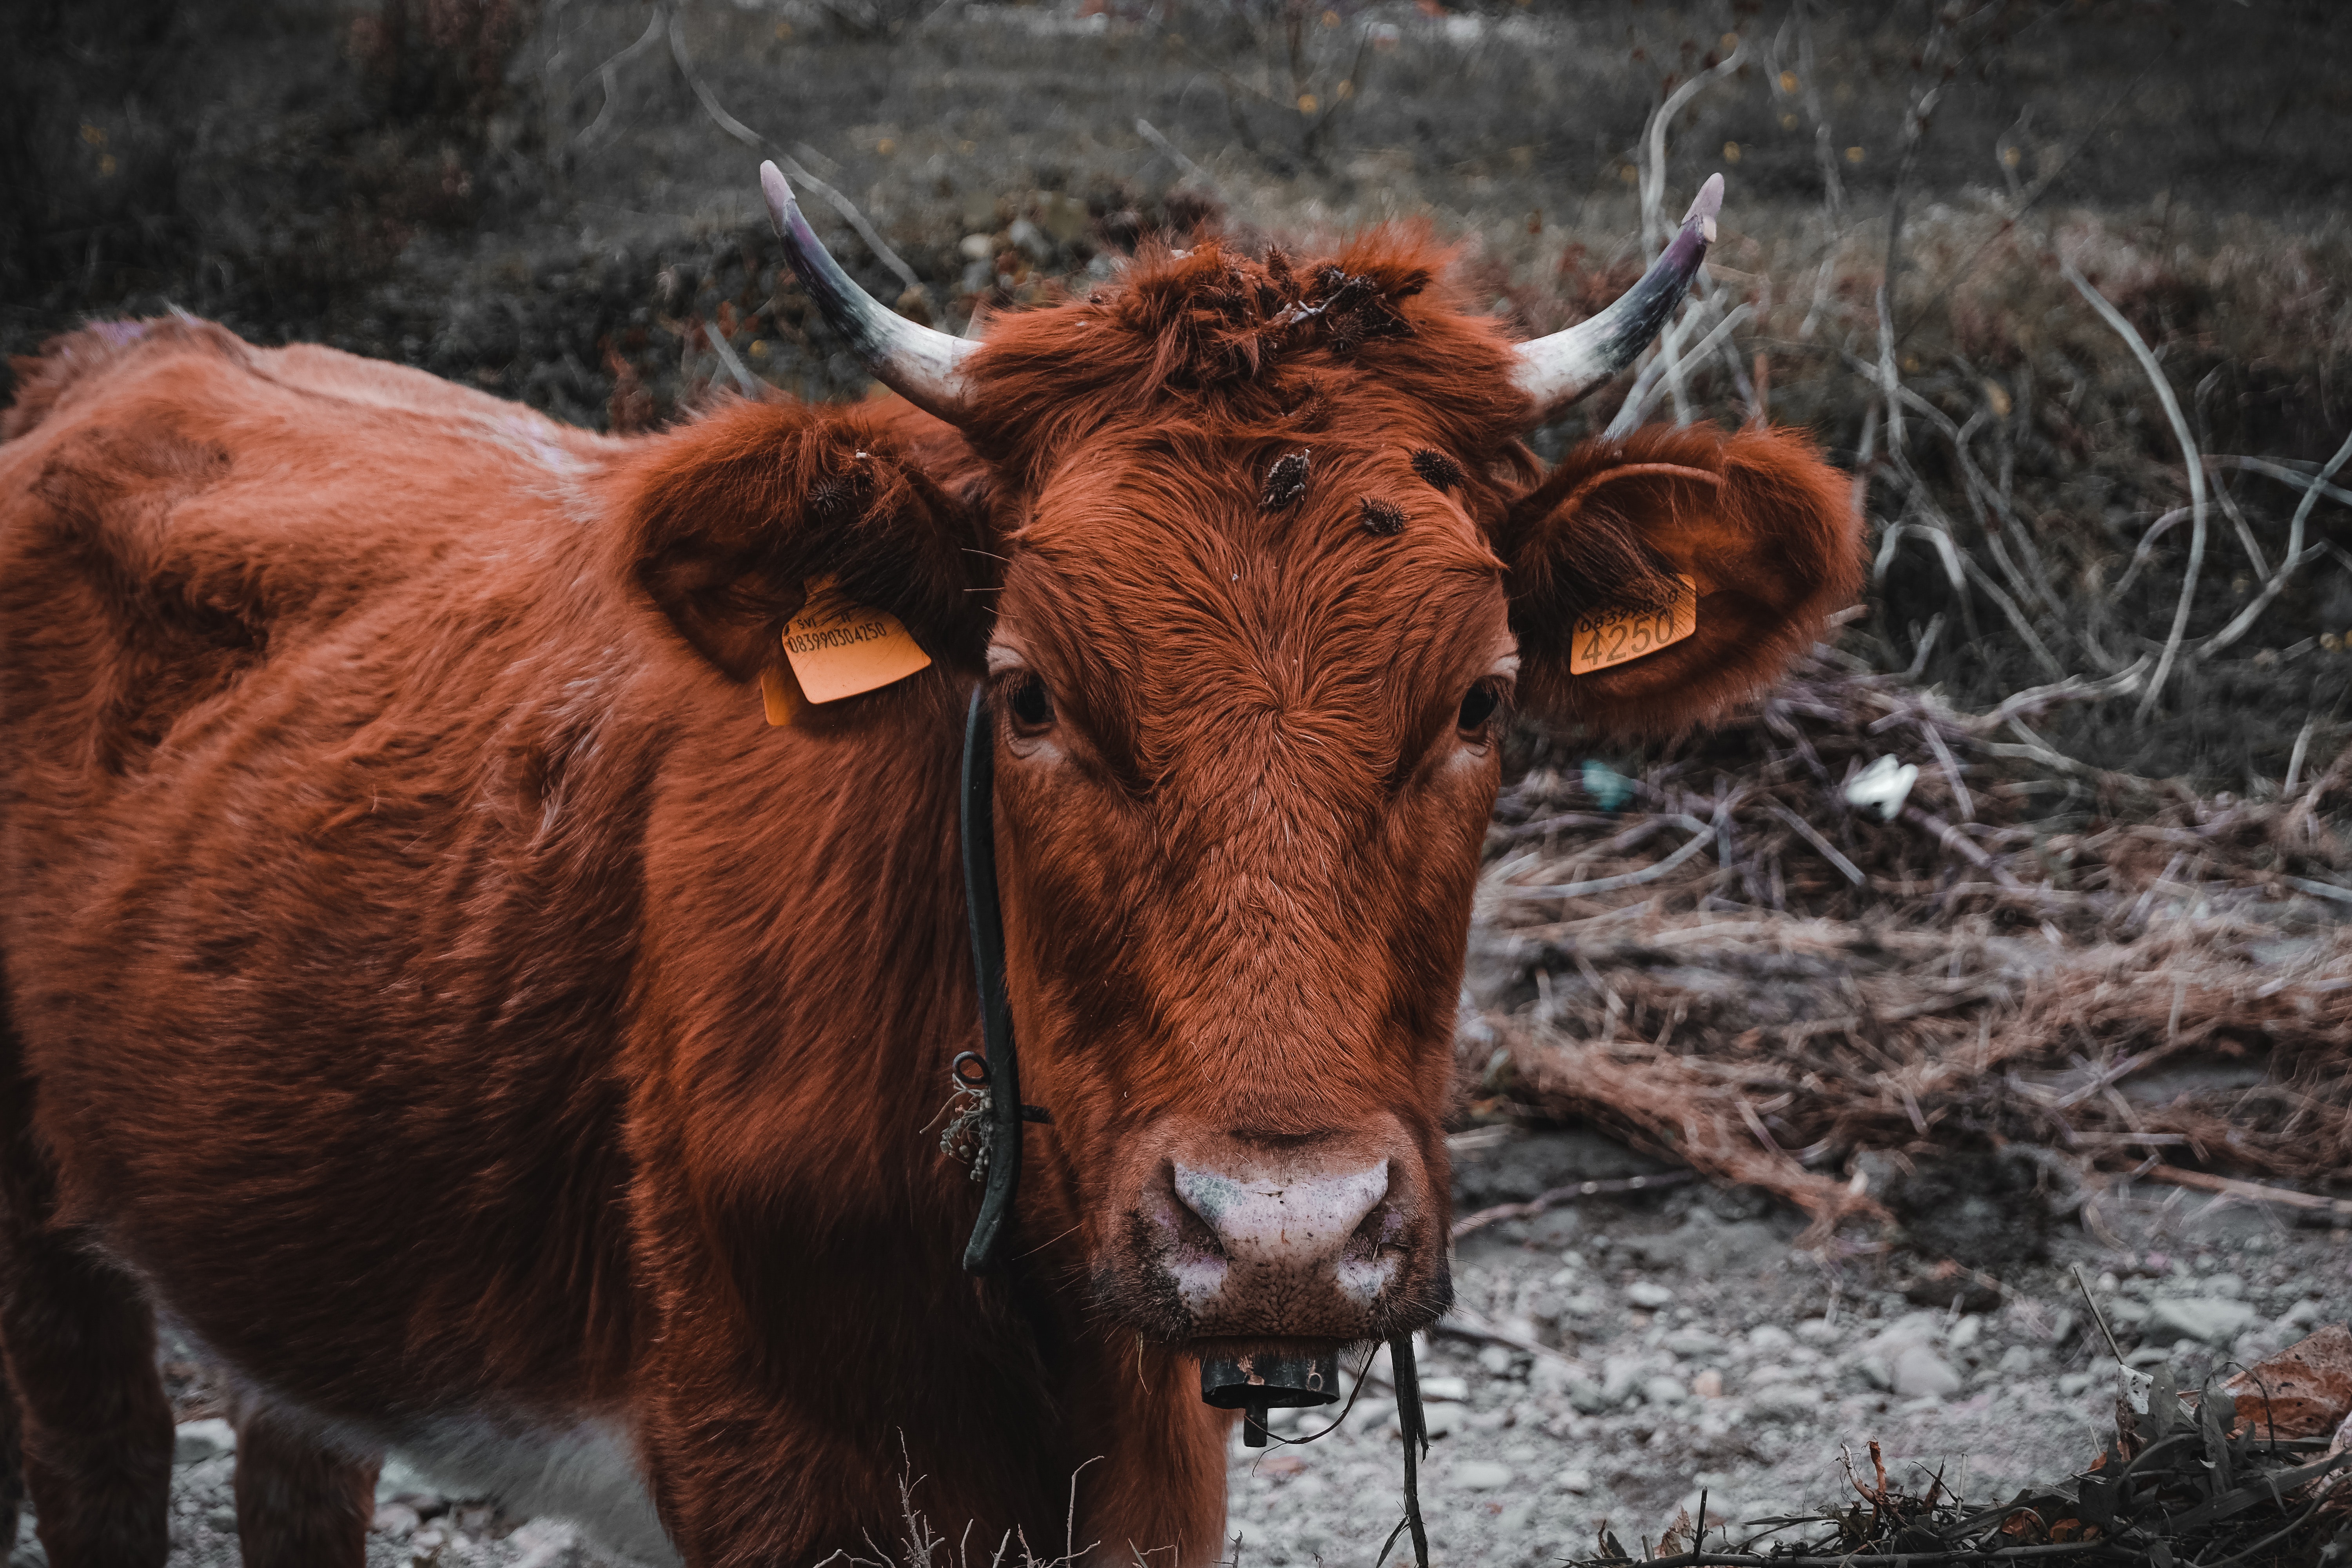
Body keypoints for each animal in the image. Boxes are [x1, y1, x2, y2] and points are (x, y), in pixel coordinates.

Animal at [0, 164, 1859, 1568]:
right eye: (1027, 692)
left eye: (1477, 697)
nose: (1278, 1231)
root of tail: (134, 349)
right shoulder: (770, 1468)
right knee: (102, 1450)